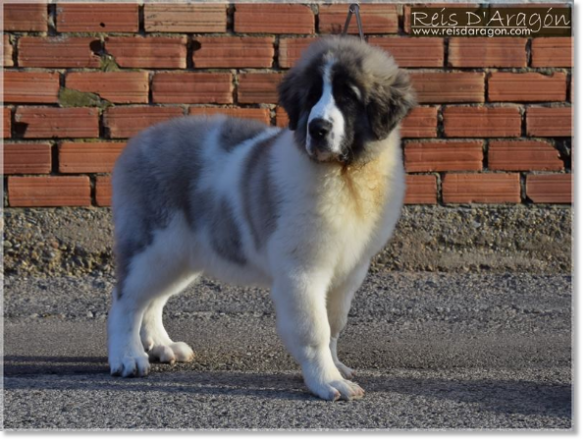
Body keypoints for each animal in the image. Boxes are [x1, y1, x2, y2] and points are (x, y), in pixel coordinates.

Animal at [106, 35, 416, 400]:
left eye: (348, 97)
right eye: (312, 96)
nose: (317, 129)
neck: (345, 175)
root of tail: (138, 142)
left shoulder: (350, 271)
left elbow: (334, 324)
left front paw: (336, 367)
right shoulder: (302, 272)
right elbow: (315, 329)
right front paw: (327, 381)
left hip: (180, 255)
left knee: (151, 300)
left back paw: (161, 345)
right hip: (154, 245)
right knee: (126, 300)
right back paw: (127, 357)